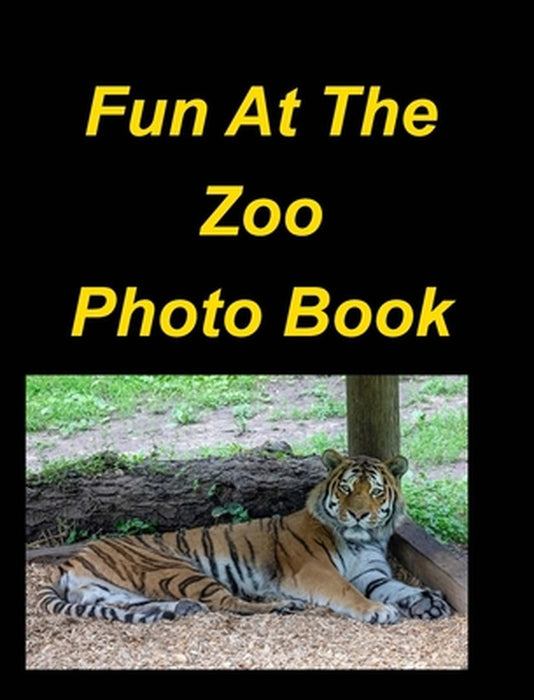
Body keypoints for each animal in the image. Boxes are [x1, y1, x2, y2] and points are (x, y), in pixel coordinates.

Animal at [38, 449, 451, 625]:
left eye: (376, 491)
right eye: (348, 488)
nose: (359, 514)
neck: (360, 539)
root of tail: (69, 558)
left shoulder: (372, 573)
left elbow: (398, 587)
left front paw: (427, 602)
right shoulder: (313, 571)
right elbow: (348, 592)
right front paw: (377, 610)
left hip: (116, 593)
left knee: (141, 606)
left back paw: (172, 611)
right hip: (175, 569)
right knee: (228, 602)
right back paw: (282, 606)